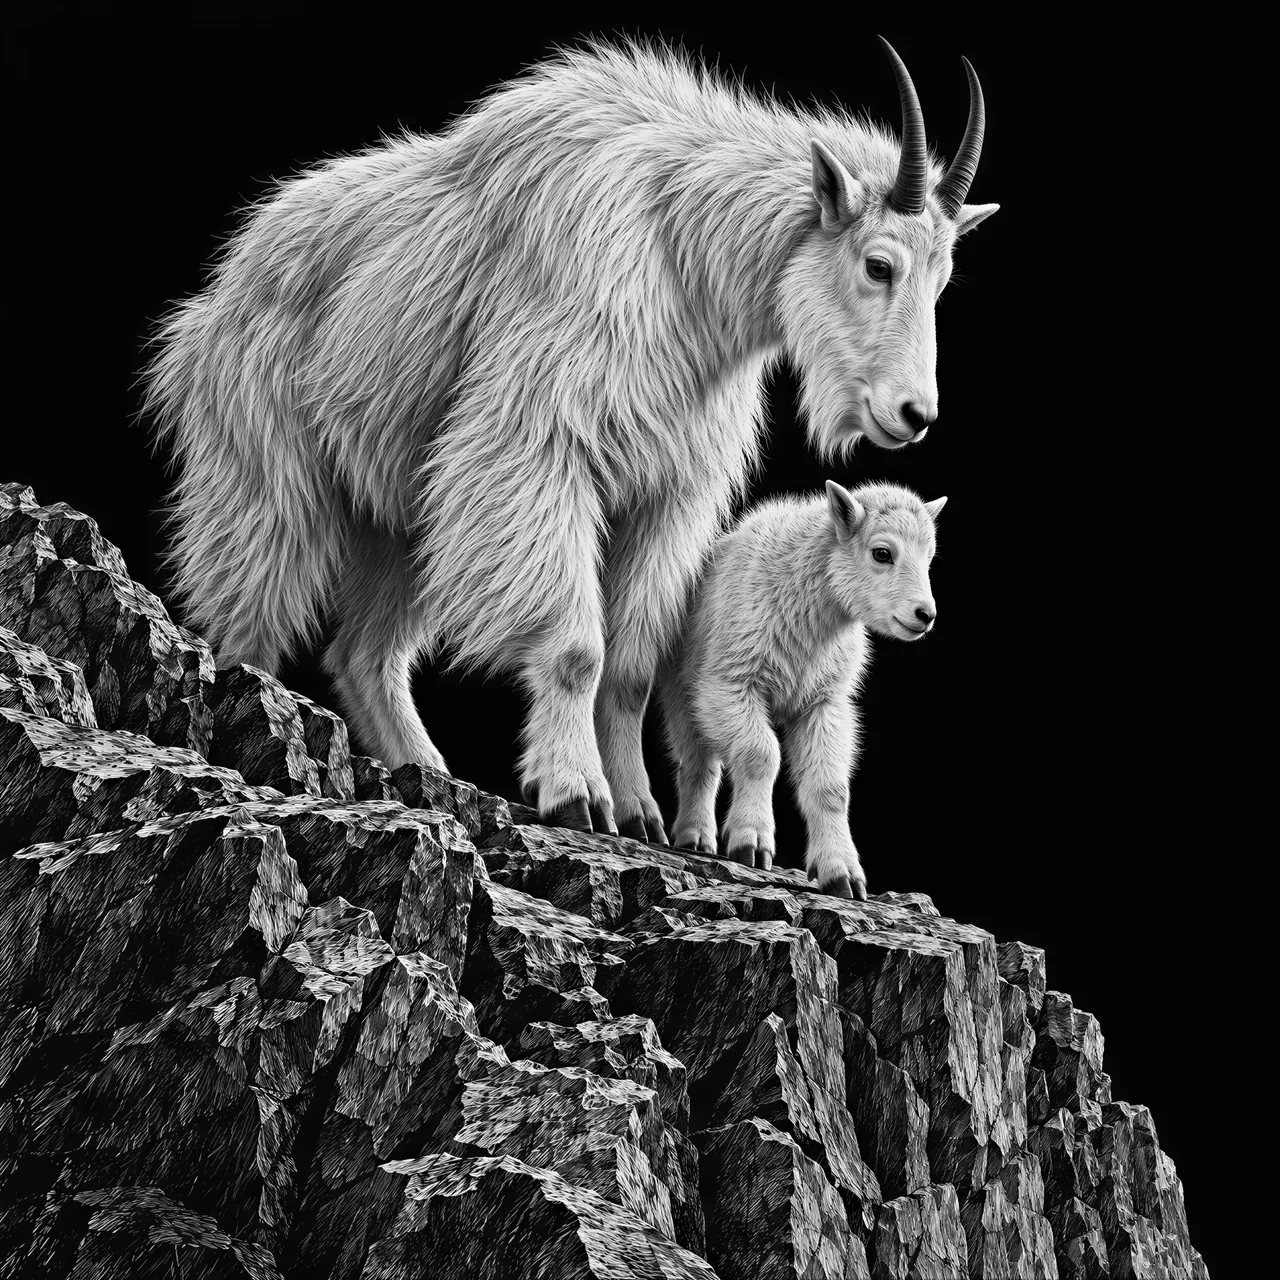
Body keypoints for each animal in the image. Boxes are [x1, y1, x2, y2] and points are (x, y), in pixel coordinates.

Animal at [142, 36, 995, 838]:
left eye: (943, 279)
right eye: (879, 264)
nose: (914, 415)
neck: (681, 247)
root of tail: (222, 285)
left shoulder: (667, 493)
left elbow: (631, 667)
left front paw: (640, 811)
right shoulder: (536, 450)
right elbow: (578, 647)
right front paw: (576, 792)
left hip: (403, 515)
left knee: (364, 650)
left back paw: (428, 770)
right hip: (267, 469)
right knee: (247, 615)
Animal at [657, 481, 945, 898]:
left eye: (929, 557)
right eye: (882, 553)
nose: (925, 614)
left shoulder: (824, 703)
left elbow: (830, 788)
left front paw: (842, 875)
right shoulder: (729, 684)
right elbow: (760, 755)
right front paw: (751, 843)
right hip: (681, 693)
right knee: (698, 764)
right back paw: (696, 836)